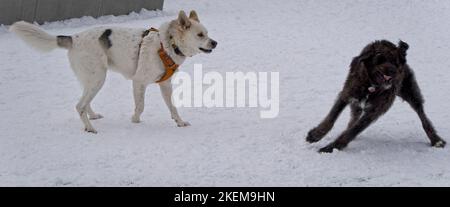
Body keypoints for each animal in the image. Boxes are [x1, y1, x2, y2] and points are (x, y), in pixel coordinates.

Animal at [8, 10, 216, 133]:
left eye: (207, 33)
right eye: (200, 35)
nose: (215, 42)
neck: (167, 44)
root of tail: (73, 38)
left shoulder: (165, 84)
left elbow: (172, 107)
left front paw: (180, 122)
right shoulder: (139, 82)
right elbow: (140, 106)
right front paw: (135, 121)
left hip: (92, 79)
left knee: (84, 103)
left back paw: (92, 117)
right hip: (98, 79)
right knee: (79, 105)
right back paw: (90, 128)